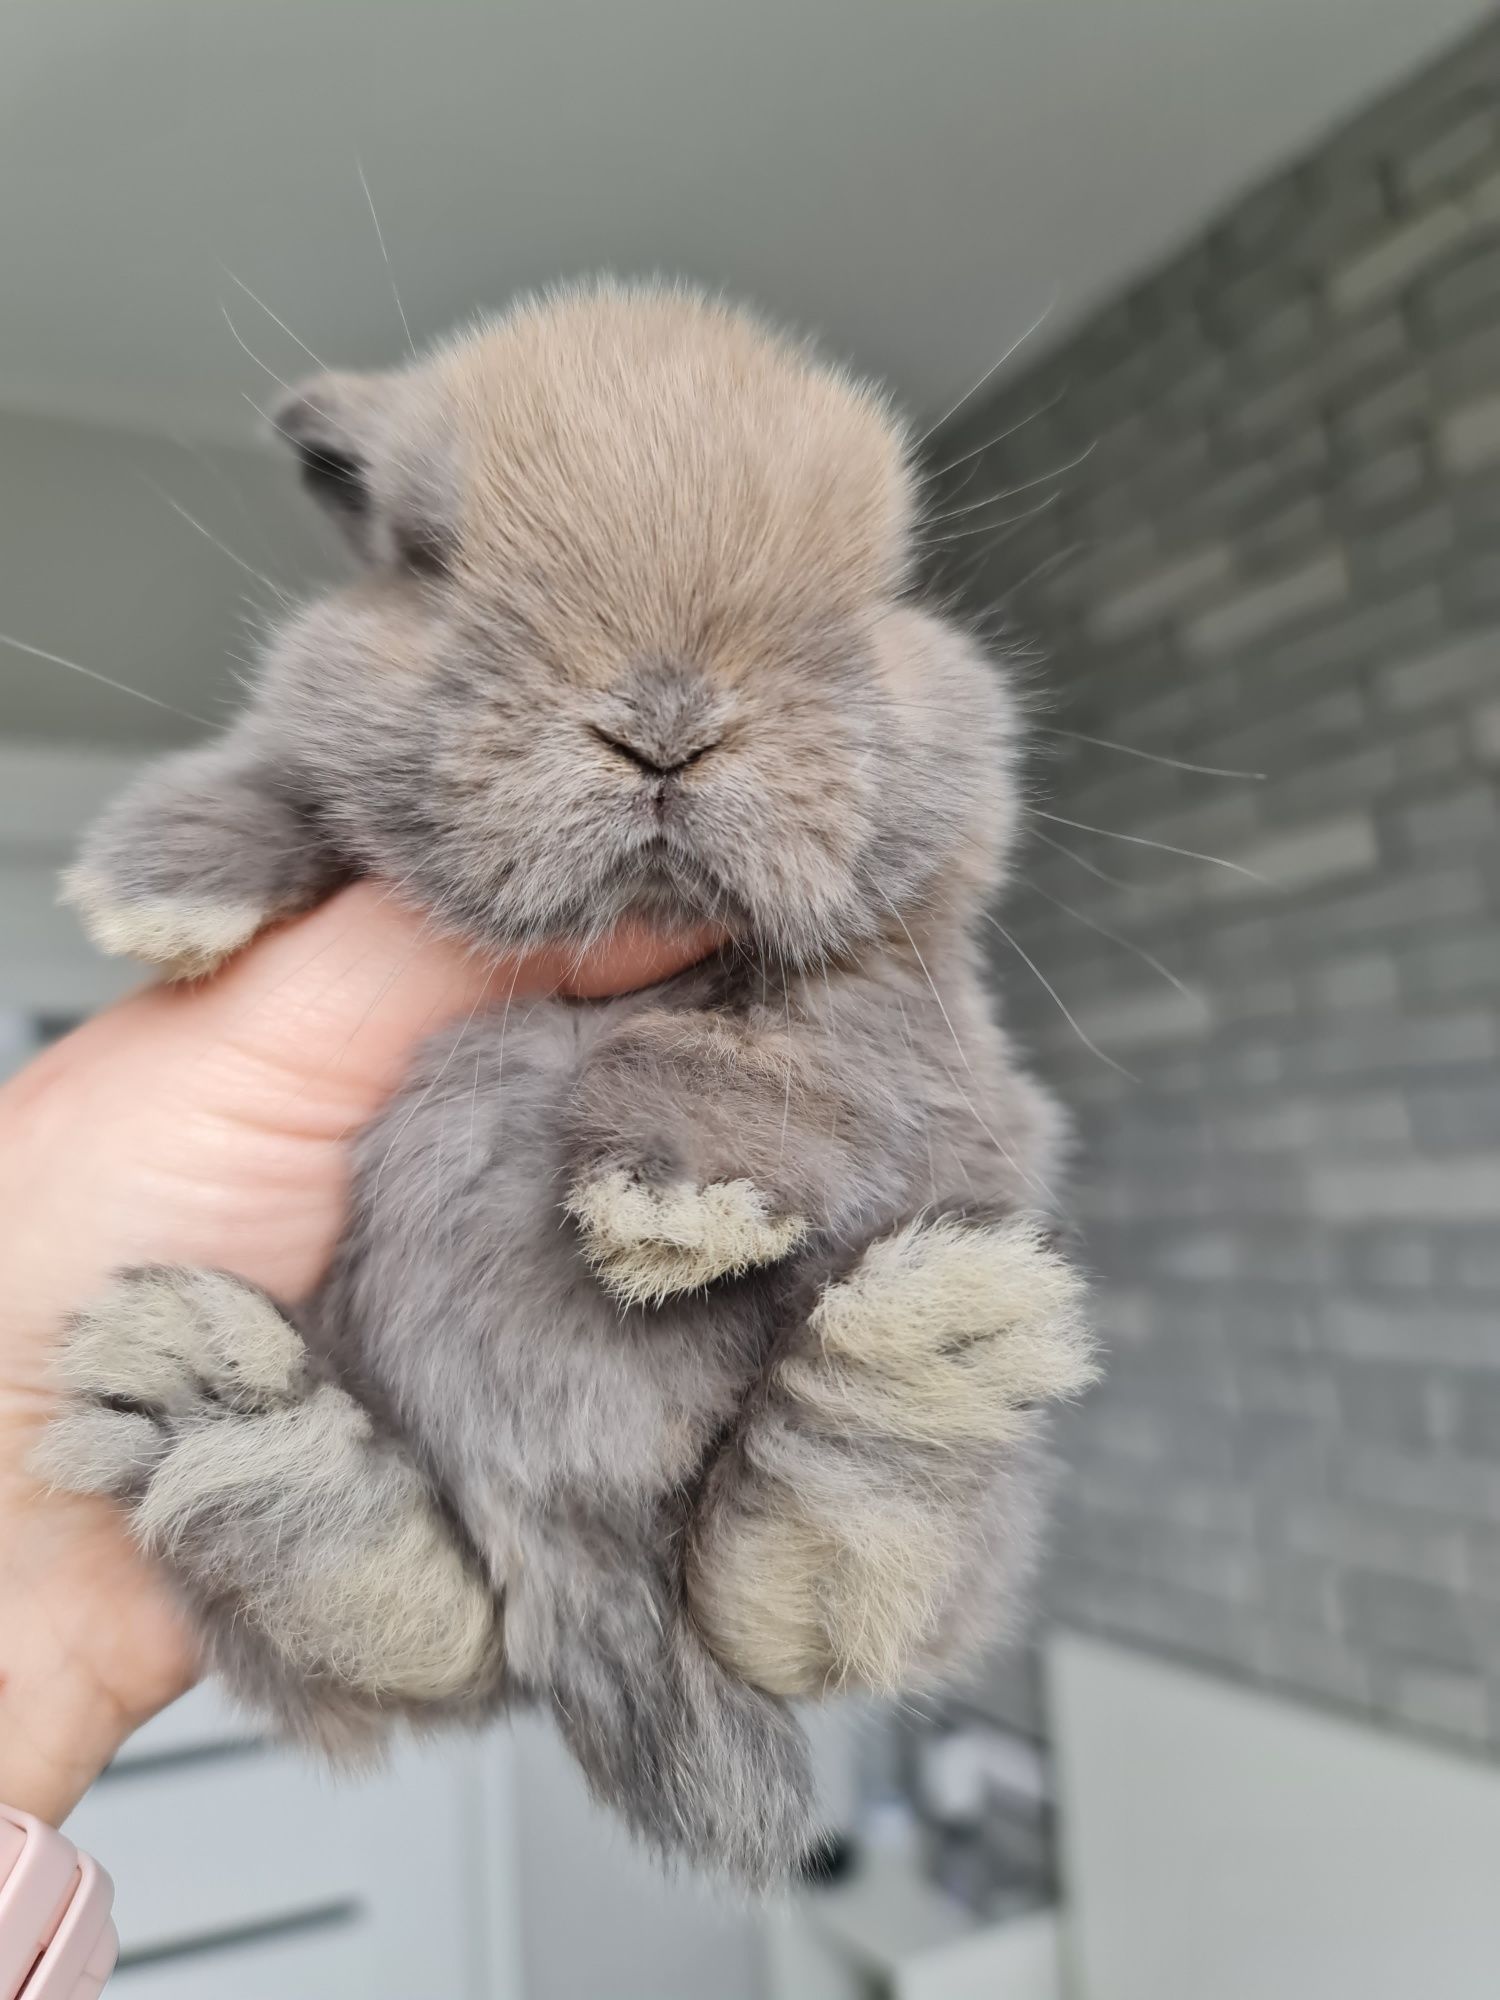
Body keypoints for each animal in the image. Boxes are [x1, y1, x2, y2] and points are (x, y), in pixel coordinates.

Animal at [44, 282, 1096, 1888]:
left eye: (880, 583)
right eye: (426, 558)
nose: (664, 725)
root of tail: (573, 1536)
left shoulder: (910, 979)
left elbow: (798, 1042)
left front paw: (678, 1203)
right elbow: (292, 771)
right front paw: (163, 889)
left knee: (798, 1602)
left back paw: (919, 1375)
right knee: (440, 1644)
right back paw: (222, 1419)